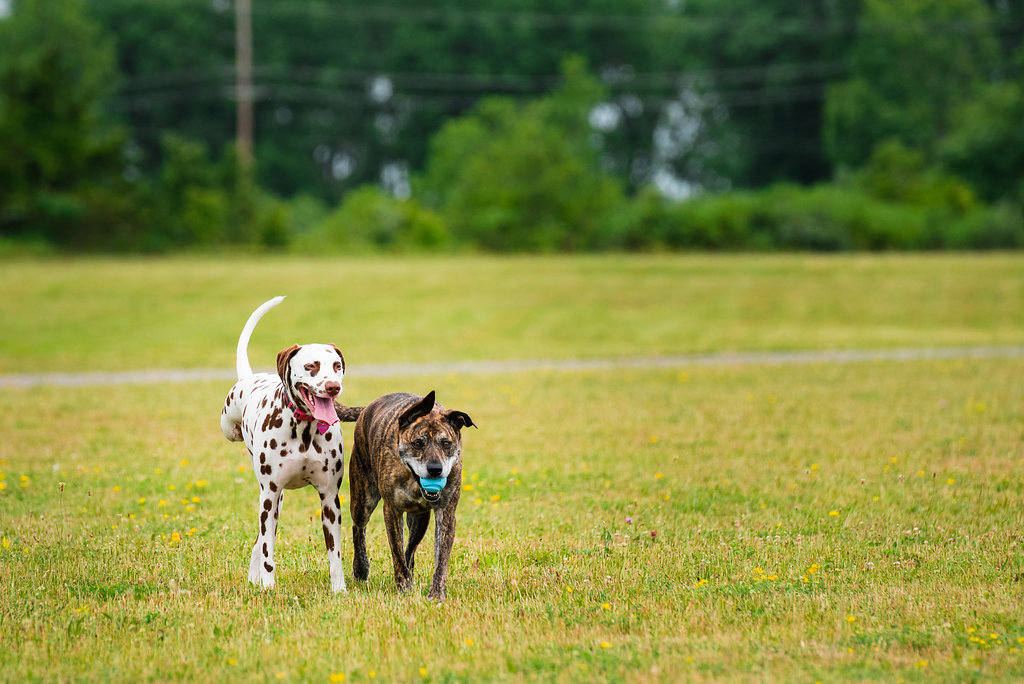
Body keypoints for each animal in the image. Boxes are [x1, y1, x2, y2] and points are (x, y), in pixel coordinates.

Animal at [222, 296, 350, 593]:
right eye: (311, 366)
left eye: (336, 366)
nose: (332, 387)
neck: (304, 429)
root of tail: (249, 377)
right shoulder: (269, 496)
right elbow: (268, 551)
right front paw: (269, 586)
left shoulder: (330, 499)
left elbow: (335, 554)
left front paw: (339, 589)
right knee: (262, 540)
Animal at [342, 393, 473, 602]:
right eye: (417, 443)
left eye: (446, 444)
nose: (435, 469)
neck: (412, 479)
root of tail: (367, 408)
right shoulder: (392, 511)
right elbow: (396, 551)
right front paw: (404, 587)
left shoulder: (446, 513)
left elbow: (441, 558)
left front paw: (436, 593)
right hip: (363, 497)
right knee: (358, 527)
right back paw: (361, 568)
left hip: (420, 518)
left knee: (410, 548)